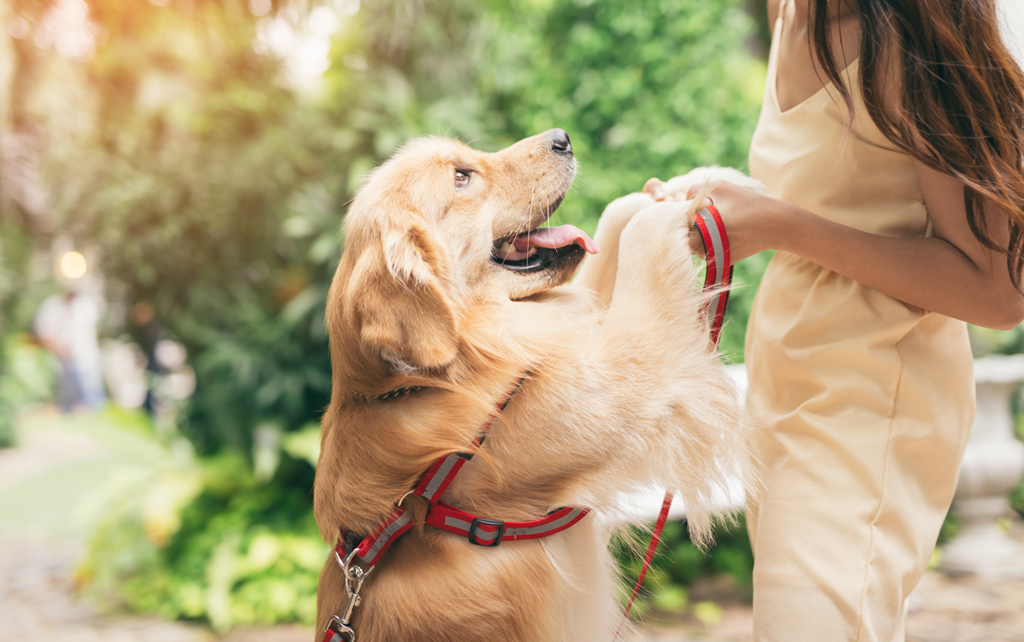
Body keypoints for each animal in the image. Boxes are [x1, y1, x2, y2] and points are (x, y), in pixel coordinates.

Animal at [311, 130, 753, 642]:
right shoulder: (621, 379)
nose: (562, 138)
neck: (424, 382)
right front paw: (673, 207)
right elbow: (641, 242)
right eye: (461, 177)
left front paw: (697, 182)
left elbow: (614, 225)